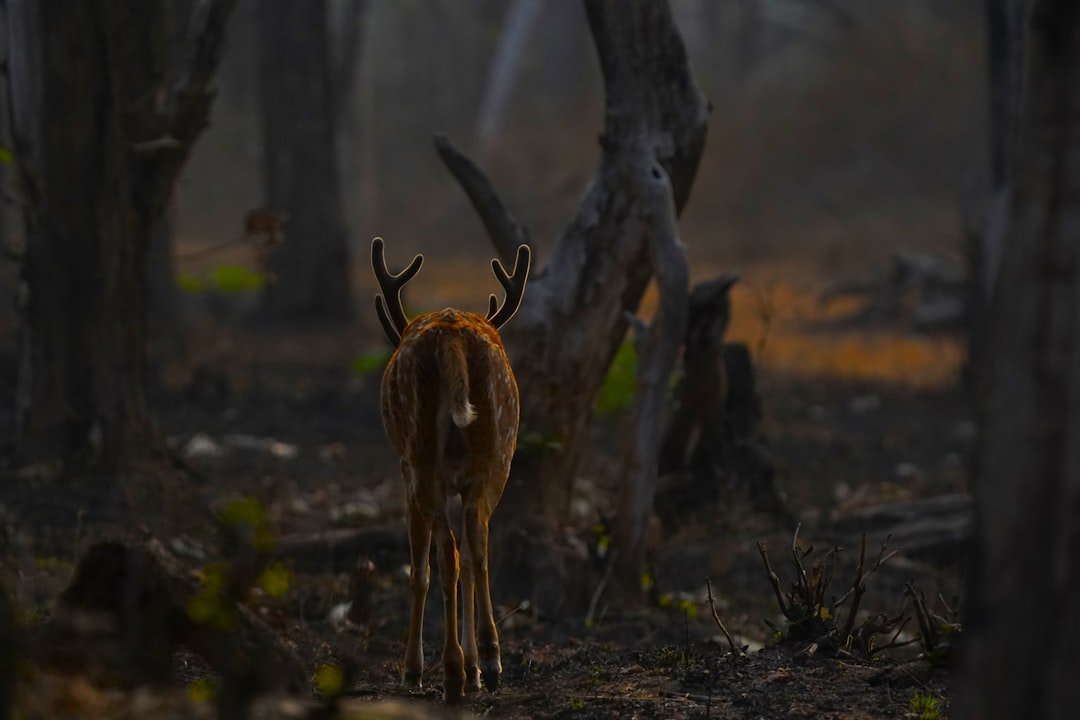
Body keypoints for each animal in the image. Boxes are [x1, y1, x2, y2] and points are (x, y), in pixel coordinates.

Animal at [370, 236, 530, 703]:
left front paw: (412, 671)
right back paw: (489, 662)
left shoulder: (406, 473)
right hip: (496, 452)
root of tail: (453, 341)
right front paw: (478, 667)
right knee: (477, 546)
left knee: (447, 554)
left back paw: (451, 673)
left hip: (423, 458)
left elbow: (418, 571)